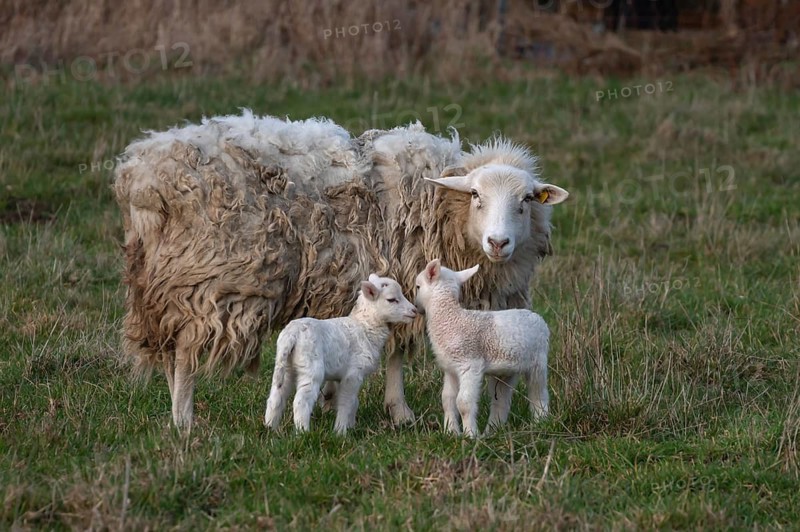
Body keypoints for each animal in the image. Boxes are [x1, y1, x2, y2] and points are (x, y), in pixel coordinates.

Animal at [264, 274, 417, 434]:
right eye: (392, 299)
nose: (414, 310)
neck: (365, 326)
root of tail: (292, 335)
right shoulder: (353, 374)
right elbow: (346, 402)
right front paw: (340, 431)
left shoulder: (344, 376)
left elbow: (354, 402)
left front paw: (351, 426)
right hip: (311, 367)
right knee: (301, 400)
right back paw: (303, 432)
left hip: (286, 365)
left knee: (276, 396)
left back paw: (270, 428)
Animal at [414, 259, 550, 438]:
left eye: (417, 286)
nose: (416, 307)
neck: (449, 318)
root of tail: (538, 317)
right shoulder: (450, 369)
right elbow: (447, 400)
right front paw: (451, 432)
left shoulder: (470, 364)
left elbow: (463, 402)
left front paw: (470, 435)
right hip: (506, 371)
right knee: (501, 401)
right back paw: (492, 431)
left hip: (538, 362)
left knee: (539, 394)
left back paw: (541, 423)